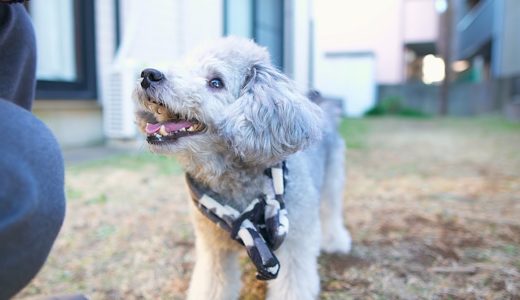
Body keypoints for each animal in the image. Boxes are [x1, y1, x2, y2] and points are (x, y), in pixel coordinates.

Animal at [134, 36, 354, 298]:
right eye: (183, 66)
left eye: (216, 82)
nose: (148, 74)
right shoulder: (213, 249)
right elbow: (212, 287)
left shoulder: (294, 244)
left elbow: (293, 285)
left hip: (333, 179)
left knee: (331, 210)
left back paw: (336, 240)